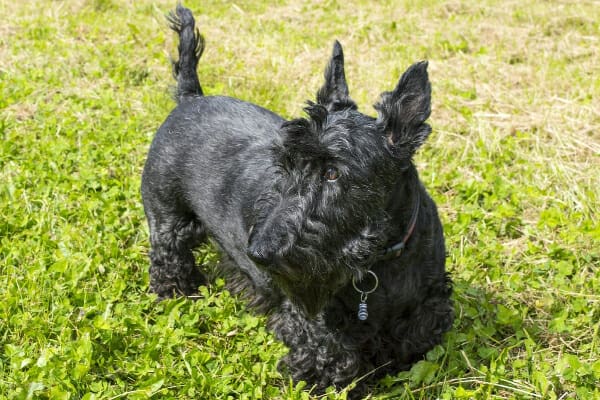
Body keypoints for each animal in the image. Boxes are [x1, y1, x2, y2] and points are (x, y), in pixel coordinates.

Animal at [143, 3, 452, 396]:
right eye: (286, 164)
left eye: (333, 173)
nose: (258, 254)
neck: (381, 258)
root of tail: (191, 97)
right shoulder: (314, 320)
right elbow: (331, 356)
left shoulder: (427, 303)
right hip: (166, 217)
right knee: (168, 257)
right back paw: (177, 293)